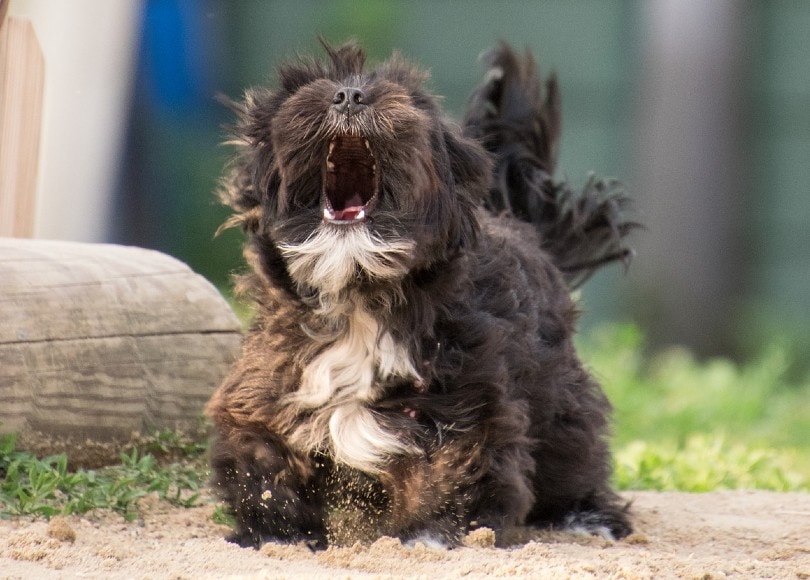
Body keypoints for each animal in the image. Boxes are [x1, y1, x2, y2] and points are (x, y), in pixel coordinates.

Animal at [205, 40, 636, 548]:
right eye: (303, 86)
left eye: (410, 97)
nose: (349, 95)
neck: (359, 296)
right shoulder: (268, 385)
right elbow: (262, 462)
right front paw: (275, 533)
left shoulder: (467, 403)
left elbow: (452, 470)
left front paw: (427, 536)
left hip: (559, 403)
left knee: (573, 456)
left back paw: (587, 517)